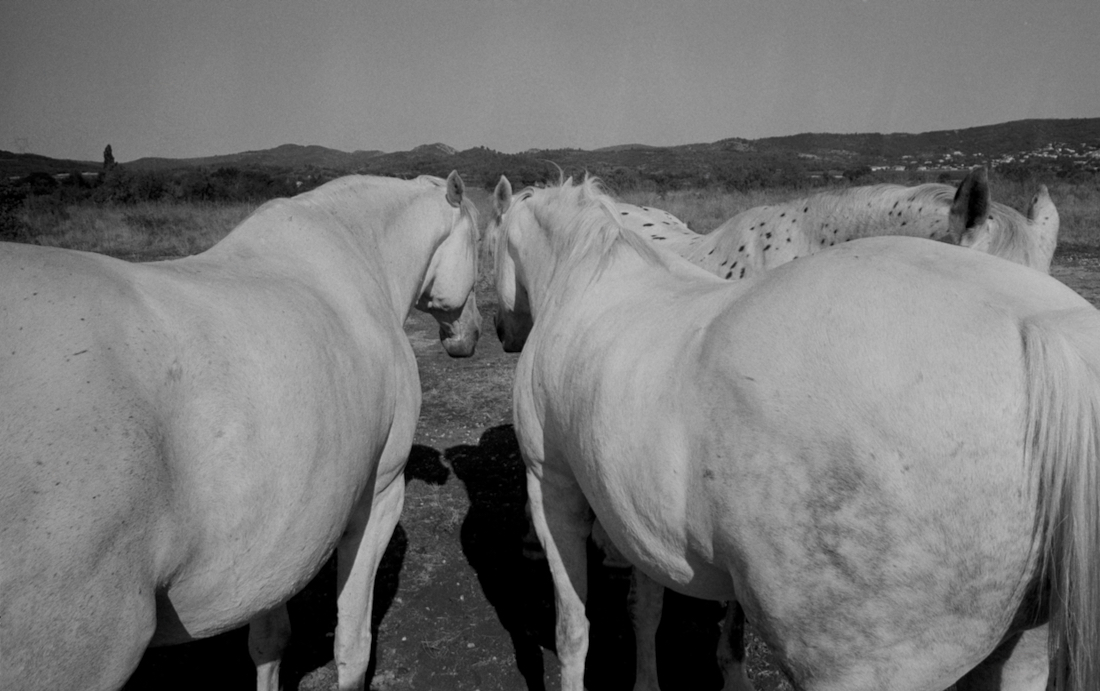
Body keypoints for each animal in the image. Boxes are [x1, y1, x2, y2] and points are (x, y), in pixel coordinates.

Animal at [2, 171, 481, 691]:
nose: (471, 335)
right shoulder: (380, 497)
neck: (358, 257)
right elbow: (352, 648)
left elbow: (268, 642)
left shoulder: (279, 540)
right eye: (479, 242)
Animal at [492, 174, 1100, 686]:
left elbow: (574, 628)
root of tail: (1040, 329)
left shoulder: (553, 485)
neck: (591, 278)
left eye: (494, 246)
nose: (501, 332)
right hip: (1020, 648)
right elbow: (650, 609)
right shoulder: (636, 511)